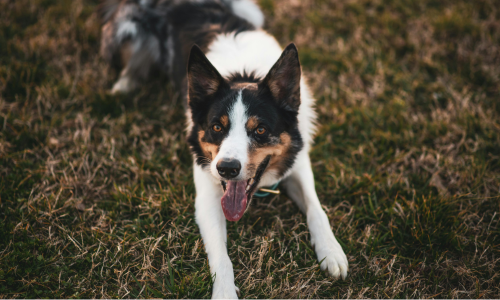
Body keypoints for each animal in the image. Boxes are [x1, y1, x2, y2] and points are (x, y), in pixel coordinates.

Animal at [99, 0, 350, 298]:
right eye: (217, 127)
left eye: (260, 130)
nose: (227, 169)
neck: (244, 74)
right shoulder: (207, 193)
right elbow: (221, 256)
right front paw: (225, 292)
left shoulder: (299, 162)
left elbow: (316, 208)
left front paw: (331, 251)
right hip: (129, 27)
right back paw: (123, 86)